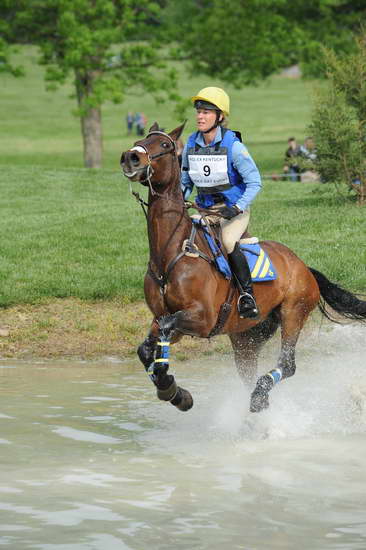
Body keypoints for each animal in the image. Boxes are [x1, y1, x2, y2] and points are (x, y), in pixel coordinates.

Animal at [121, 123, 366, 416]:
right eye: (141, 140)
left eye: (166, 146)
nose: (131, 157)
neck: (170, 253)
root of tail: (302, 265)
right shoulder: (168, 319)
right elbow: (148, 347)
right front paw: (175, 392)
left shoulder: (202, 318)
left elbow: (164, 331)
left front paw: (171, 387)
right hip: (247, 336)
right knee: (250, 368)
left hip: (293, 312)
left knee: (288, 364)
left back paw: (259, 396)